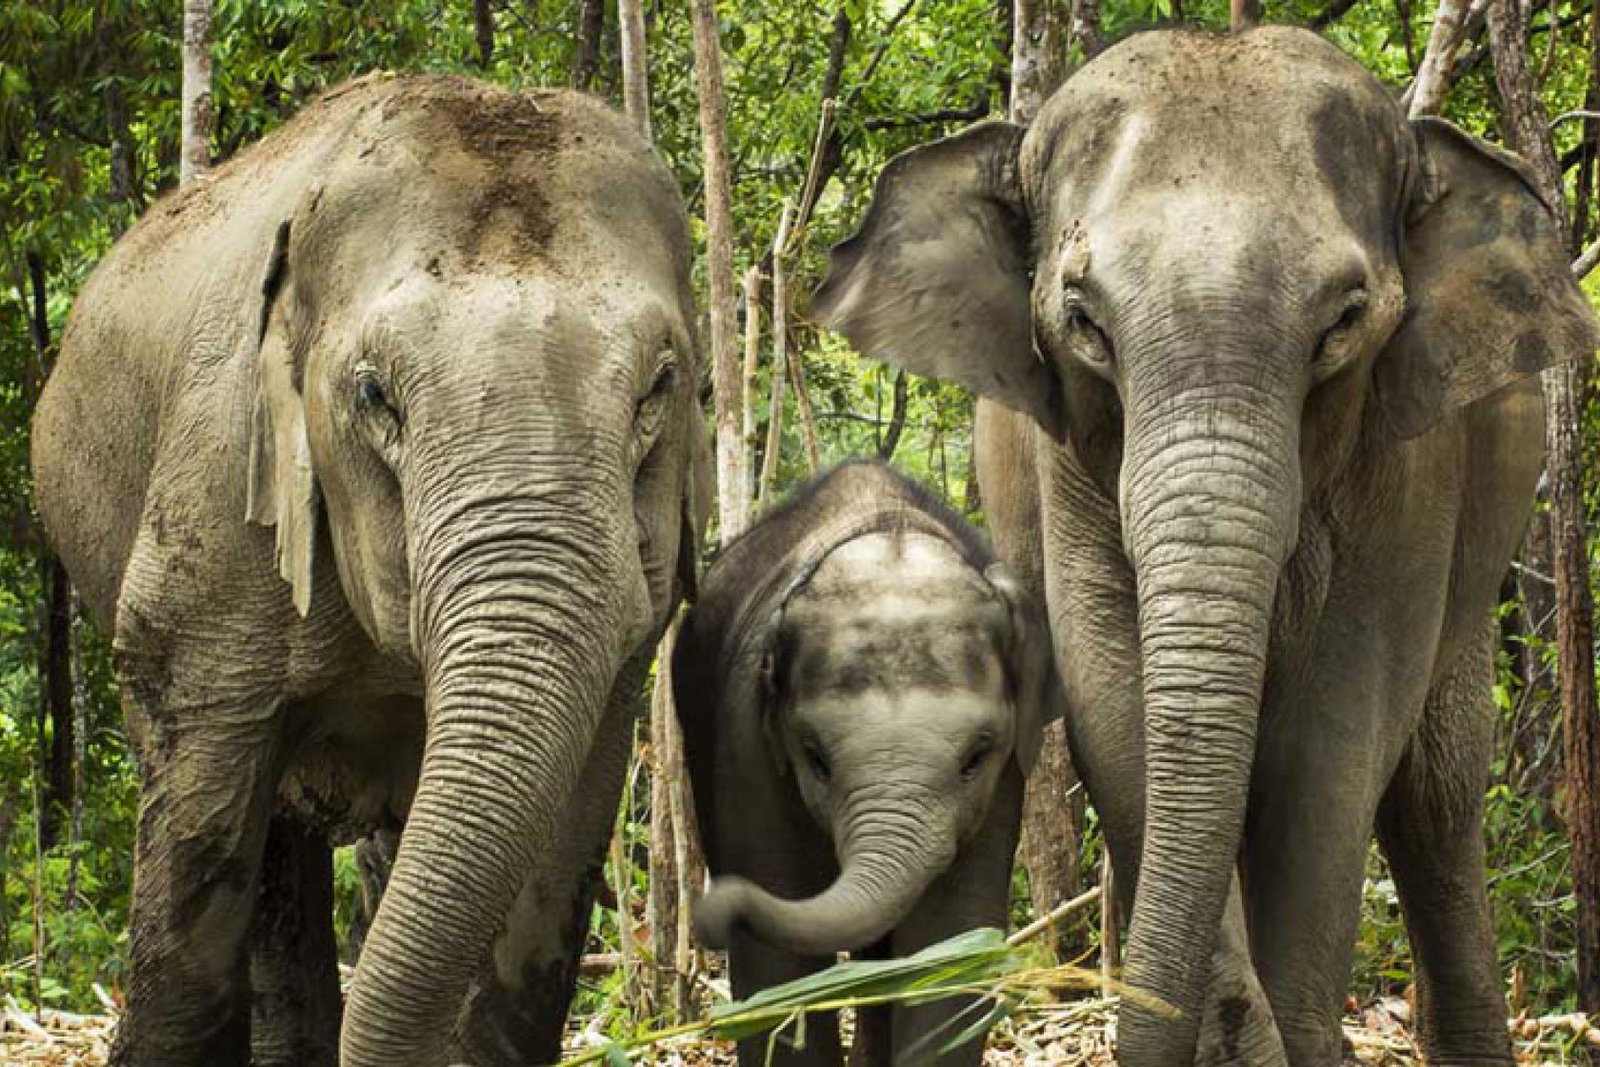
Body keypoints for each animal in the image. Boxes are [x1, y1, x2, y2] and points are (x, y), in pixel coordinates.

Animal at [674, 460, 1059, 1067]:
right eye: (815, 758)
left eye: (975, 758)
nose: (709, 913)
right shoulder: (745, 737)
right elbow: (778, 966)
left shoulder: (1002, 784)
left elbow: (951, 940)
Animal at [814, 27, 1599, 1067]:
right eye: (1084, 320)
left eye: (1344, 320)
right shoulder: (1065, 461)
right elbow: (1115, 697)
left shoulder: (1412, 466)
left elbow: (1340, 728)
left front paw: (1295, 1037)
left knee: (1436, 793)